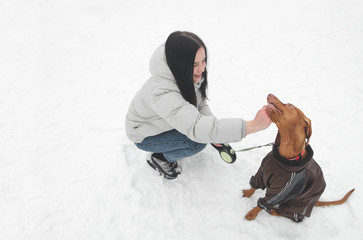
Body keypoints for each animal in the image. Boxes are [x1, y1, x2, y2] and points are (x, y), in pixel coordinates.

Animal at [243, 94, 354, 222]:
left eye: (290, 105)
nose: (270, 94)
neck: (285, 156)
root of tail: (314, 202)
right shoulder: (262, 172)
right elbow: (255, 185)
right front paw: (248, 192)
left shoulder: (280, 191)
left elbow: (265, 203)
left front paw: (252, 213)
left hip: (293, 203)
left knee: (292, 216)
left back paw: (275, 211)